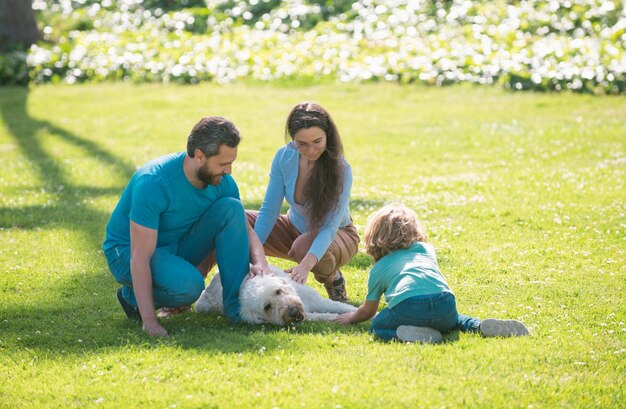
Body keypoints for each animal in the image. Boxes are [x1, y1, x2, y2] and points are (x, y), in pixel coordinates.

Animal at [194, 264, 356, 326]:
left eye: (278, 291)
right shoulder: (308, 315)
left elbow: (340, 306)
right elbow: (322, 316)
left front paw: (354, 311)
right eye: (267, 307)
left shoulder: (318, 301)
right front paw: (334, 317)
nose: (293, 311)